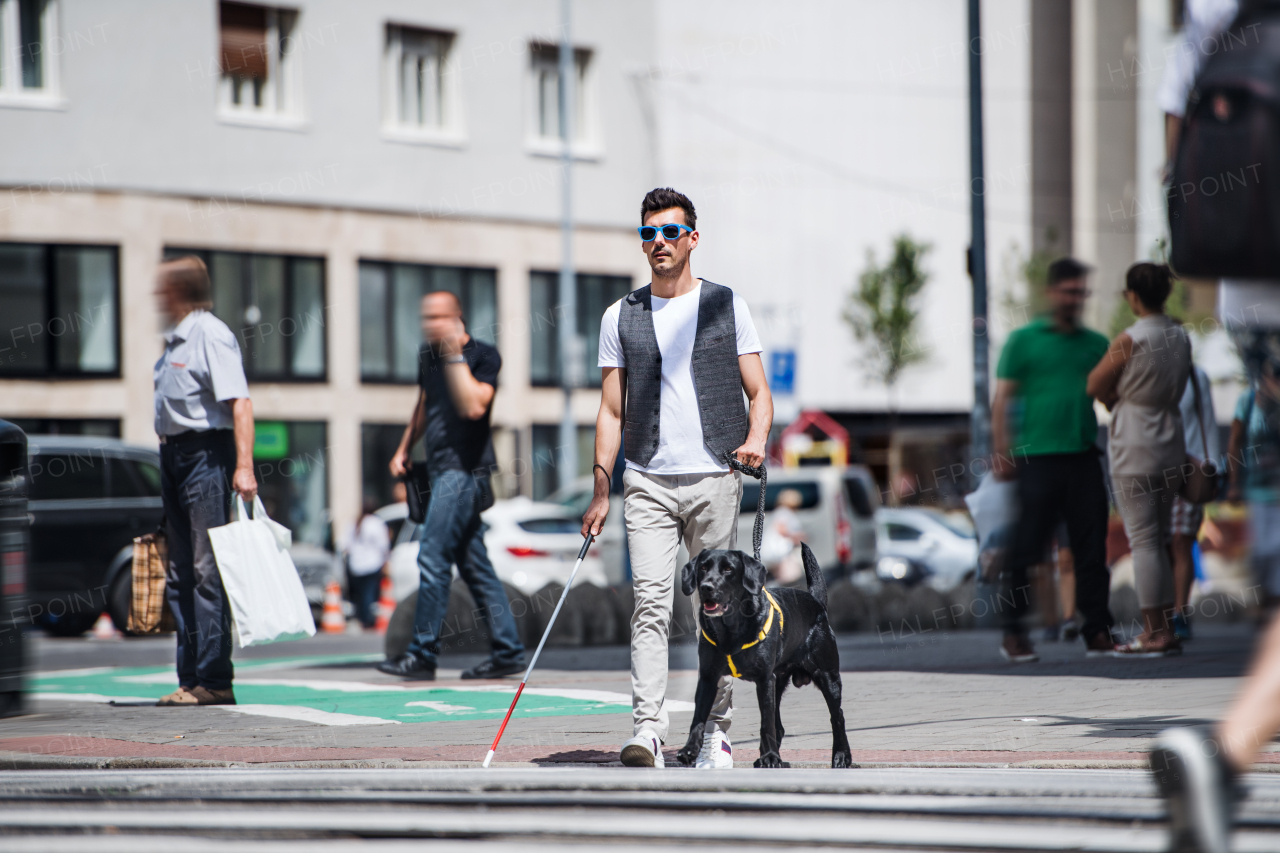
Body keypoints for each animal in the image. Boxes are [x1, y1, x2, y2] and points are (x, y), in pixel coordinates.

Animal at [675, 540, 855, 768]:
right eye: (703, 568)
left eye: (728, 569)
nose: (707, 587)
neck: (730, 629)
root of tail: (815, 601)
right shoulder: (708, 677)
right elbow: (698, 717)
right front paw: (689, 750)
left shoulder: (764, 678)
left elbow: (765, 722)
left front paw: (770, 757)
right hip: (777, 681)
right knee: (779, 725)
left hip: (827, 676)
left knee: (837, 716)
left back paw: (841, 755)